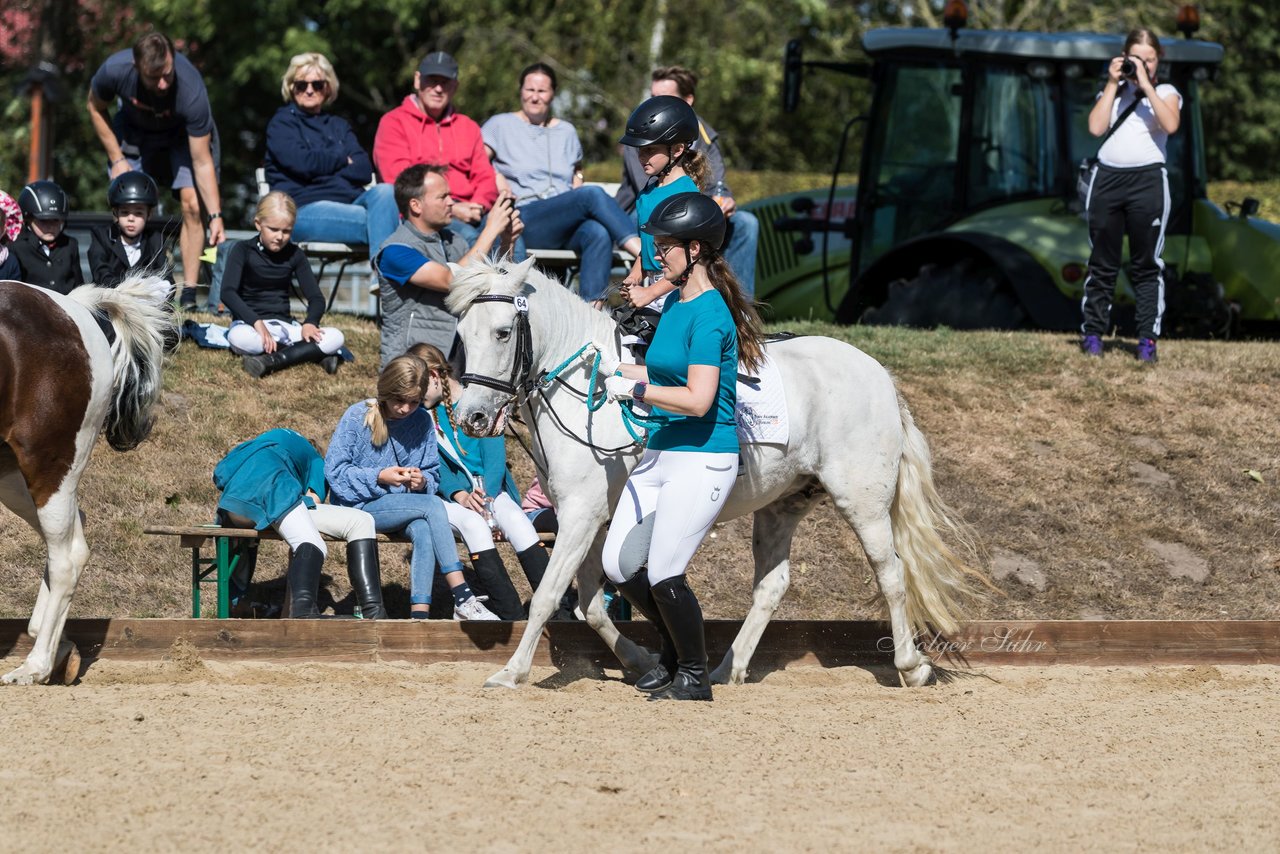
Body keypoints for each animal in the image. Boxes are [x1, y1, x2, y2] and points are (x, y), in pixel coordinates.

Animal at [0, 277, 172, 686]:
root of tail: (71, 306)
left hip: (49, 463)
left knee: (67, 556)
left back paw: (36, 666)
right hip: (13, 475)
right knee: (71, 537)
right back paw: (56, 648)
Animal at [445, 258, 983, 686]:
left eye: (502, 332)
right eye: (463, 336)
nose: (471, 418)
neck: (585, 387)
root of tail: (879, 374)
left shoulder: (581, 514)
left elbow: (549, 597)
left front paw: (511, 672)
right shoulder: (596, 519)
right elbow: (593, 605)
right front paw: (645, 663)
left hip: (863, 502)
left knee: (891, 573)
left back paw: (911, 666)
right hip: (782, 505)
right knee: (771, 585)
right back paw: (729, 667)